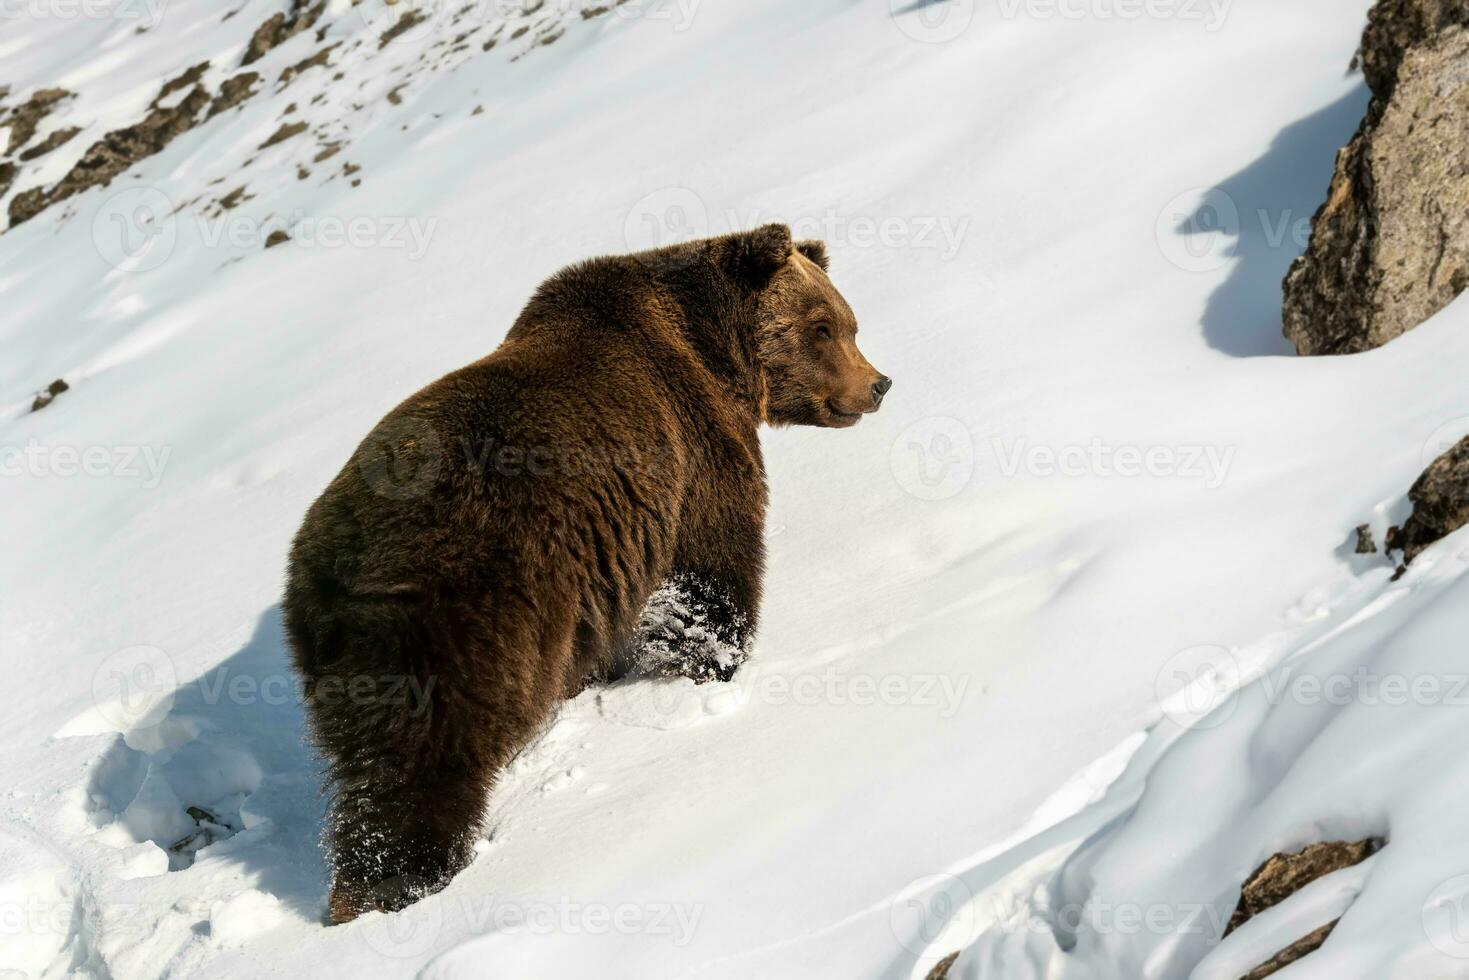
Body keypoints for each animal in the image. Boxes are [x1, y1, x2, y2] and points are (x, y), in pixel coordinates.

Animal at [280, 221, 887, 922]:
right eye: (823, 327)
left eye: (848, 323)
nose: (878, 383)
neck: (711, 349)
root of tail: (334, 567)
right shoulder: (692, 452)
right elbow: (709, 576)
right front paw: (711, 667)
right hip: (456, 607)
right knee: (423, 756)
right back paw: (408, 881)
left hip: (336, 652)